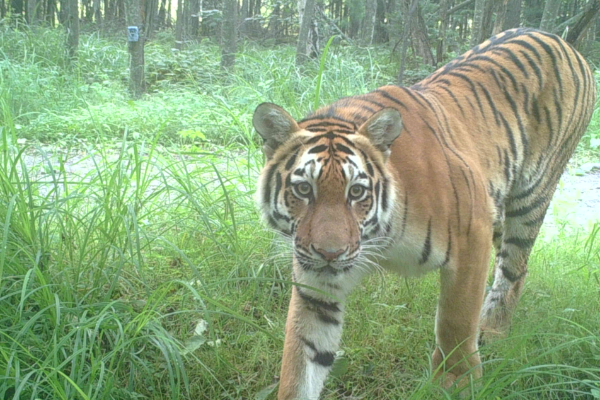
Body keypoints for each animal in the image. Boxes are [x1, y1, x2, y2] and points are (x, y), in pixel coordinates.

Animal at [252, 28, 596, 400]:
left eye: (356, 192)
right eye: (304, 190)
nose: (330, 253)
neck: (380, 238)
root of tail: (559, 40)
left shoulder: (472, 236)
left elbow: (456, 322)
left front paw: (456, 382)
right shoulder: (316, 284)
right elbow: (302, 358)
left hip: (531, 196)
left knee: (514, 268)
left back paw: (492, 330)